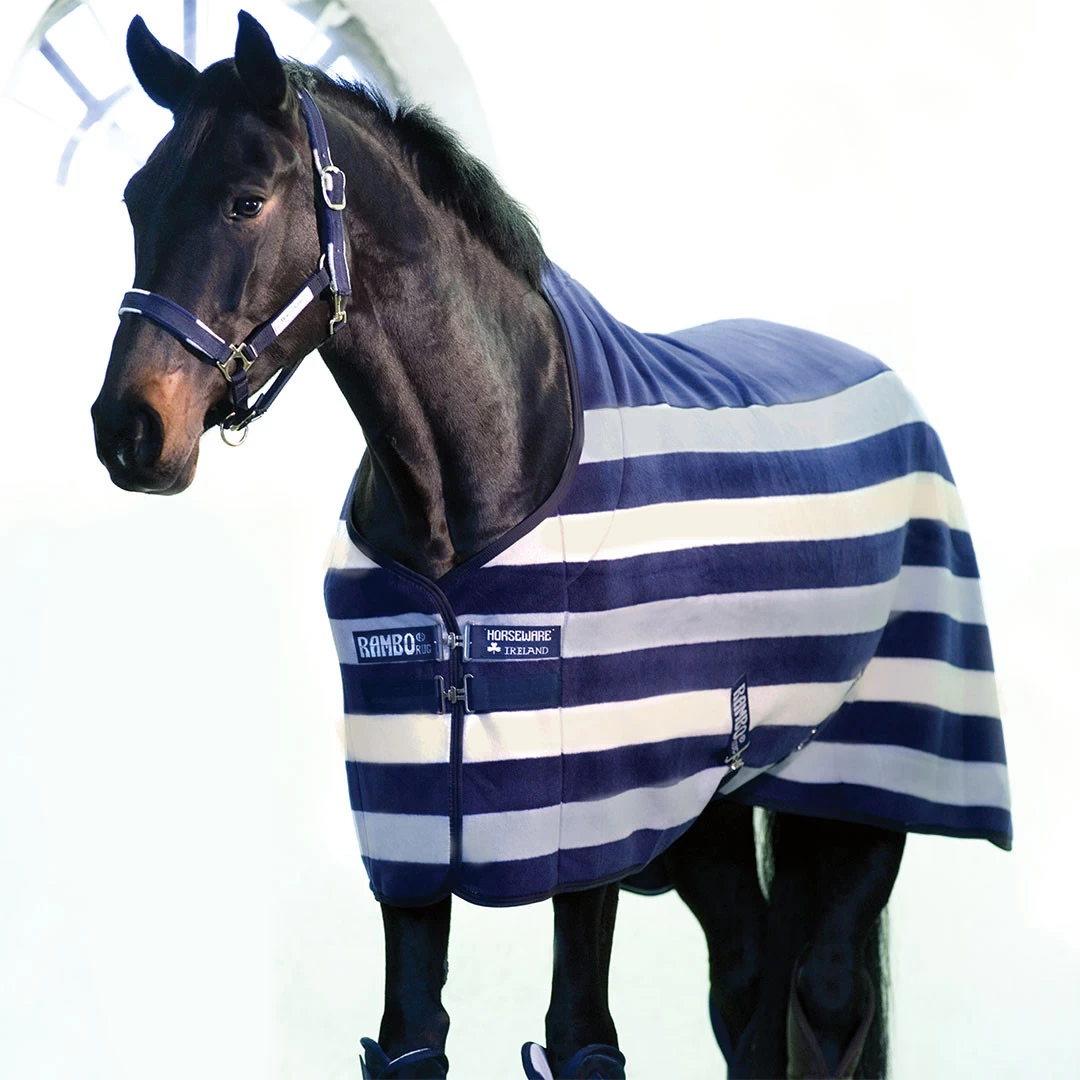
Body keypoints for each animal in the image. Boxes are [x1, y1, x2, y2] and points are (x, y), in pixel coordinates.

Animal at [91, 12, 1011, 1079]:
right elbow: (413, 1040)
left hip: (862, 792)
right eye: (135, 198)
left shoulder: (592, 818)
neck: (477, 486)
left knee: (822, 998)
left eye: (246, 201)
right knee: (749, 990)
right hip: (713, 818)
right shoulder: (413, 823)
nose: (129, 430)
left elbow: (582, 1043)